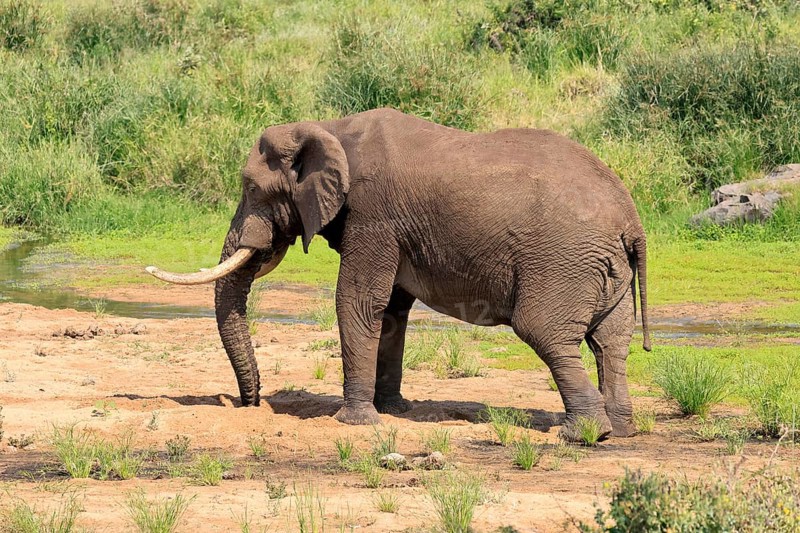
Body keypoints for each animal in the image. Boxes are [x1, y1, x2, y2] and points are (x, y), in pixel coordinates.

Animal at [146, 108, 651, 441]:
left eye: (252, 189)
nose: (248, 404)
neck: (330, 128)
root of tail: (631, 221)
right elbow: (390, 311)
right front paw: (390, 410)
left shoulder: (373, 215)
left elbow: (357, 301)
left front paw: (354, 422)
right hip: (603, 269)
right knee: (610, 342)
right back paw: (620, 429)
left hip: (563, 261)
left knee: (545, 333)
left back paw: (584, 434)